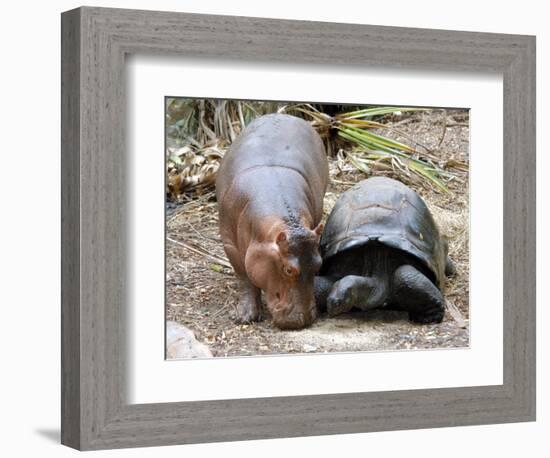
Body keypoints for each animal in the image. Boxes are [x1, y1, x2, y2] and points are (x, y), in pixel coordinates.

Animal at [216, 114, 328, 330]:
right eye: (288, 270)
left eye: (319, 264)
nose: (304, 319)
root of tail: (283, 114)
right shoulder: (230, 245)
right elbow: (244, 277)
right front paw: (244, 317)